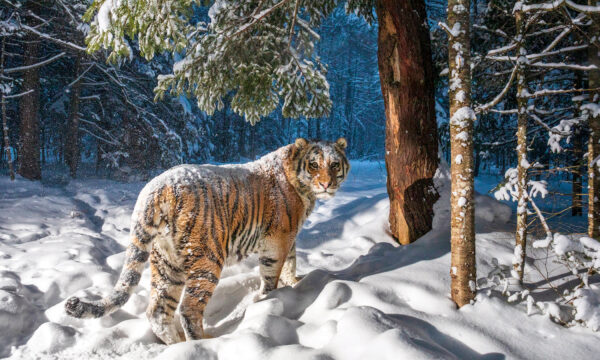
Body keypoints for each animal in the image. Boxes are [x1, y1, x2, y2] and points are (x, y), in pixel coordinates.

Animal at [63, 137, 350, 344]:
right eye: (314, 165)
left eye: (335, 164)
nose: (326, 184)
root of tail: (154, 190)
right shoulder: (278, 240)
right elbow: (272, 274)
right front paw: (271, 298)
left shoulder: (289, 239)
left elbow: (291, 262)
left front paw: (294, 284)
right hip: (207, 259)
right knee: (188, 309)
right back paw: (203, 343)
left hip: (166, 263)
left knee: (158, 310)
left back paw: (177, 345)